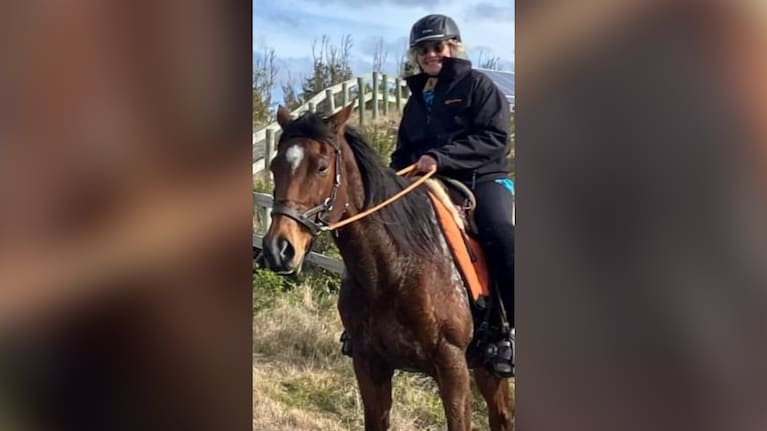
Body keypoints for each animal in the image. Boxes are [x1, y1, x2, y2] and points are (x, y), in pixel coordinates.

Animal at [262, 103, 513, 430]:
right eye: (274, 166)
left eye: (322, 167)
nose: (279, 249)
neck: (393, 271)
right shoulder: (370, 366)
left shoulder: (452, 367)